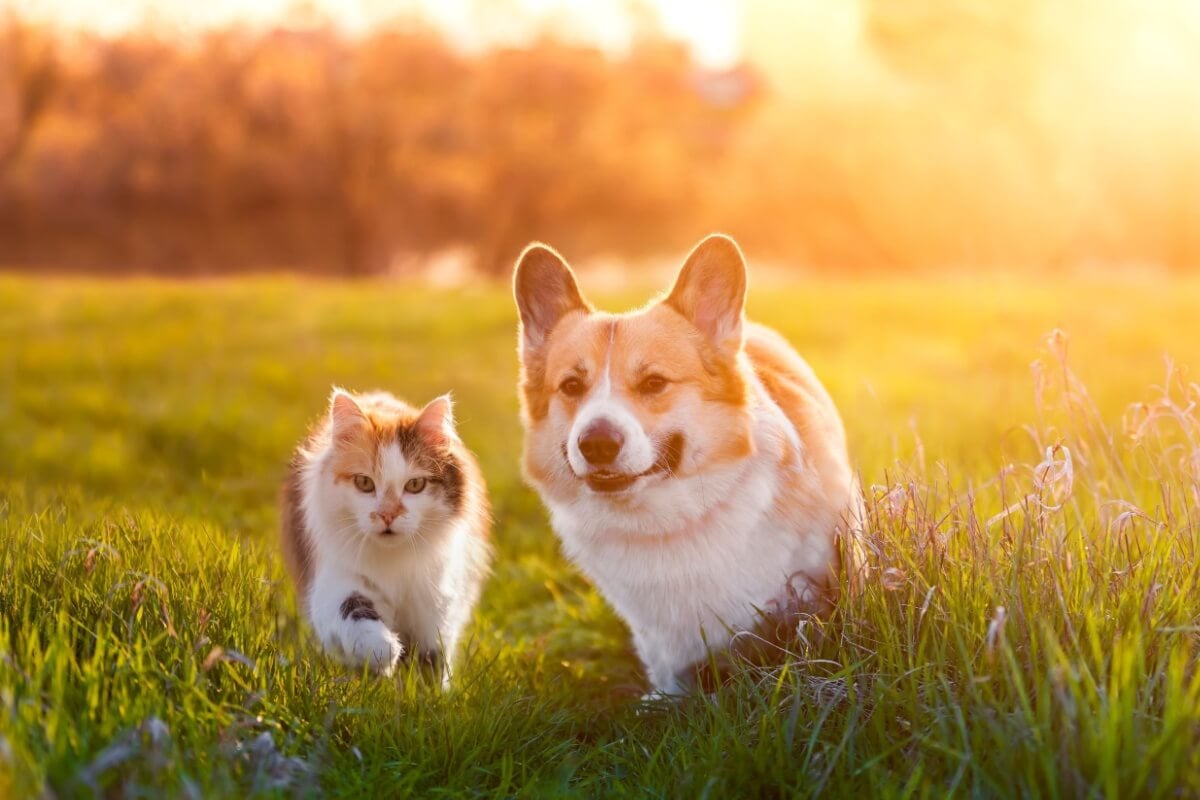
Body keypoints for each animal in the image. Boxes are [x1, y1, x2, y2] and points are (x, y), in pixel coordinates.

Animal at [278, 388, 489, 681]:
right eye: (364, 483)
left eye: (415, 485)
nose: (388, 515)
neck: (394, 565)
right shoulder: (334, 582)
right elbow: (354, 611)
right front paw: (384, 650)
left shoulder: (435, 606)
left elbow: (432, 662)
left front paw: (425, 690)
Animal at [511, 232, 859, 695]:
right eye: (571, 386)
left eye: (654, 382)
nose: (596, 444)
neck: (668, 520)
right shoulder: (660, 641)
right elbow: (670, 677)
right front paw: (663, 699)